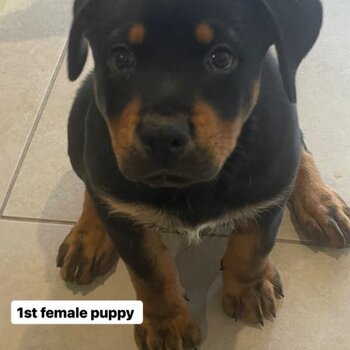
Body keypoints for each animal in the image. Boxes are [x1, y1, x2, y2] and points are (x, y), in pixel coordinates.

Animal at [57, 0, 350, 348]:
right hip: (81, 119)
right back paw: (88, 236)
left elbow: (253, 246)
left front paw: (249, 288)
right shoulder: (124, 215)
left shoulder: (268, 196)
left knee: (299, 148)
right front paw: (166, 325)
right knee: (91, 184)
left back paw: (320, 203)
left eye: (221, 58)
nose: (162, 136)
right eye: (120, 58)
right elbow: (150, 274)